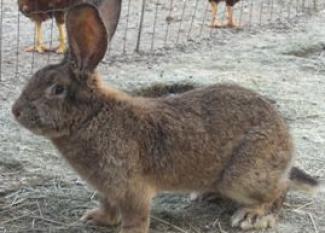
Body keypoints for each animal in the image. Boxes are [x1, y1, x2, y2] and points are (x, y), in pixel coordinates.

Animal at [12, 2, 318, 232]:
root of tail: (286, 142)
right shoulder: (108, 190)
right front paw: (96, 218)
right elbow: (108, 207)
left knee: (279, 190)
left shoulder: (131, 190)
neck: (92, 116)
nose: (15, 111)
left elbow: (135, 218)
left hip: (243, 176)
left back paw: (252, 216)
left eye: (57, 89)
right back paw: (206, 193)